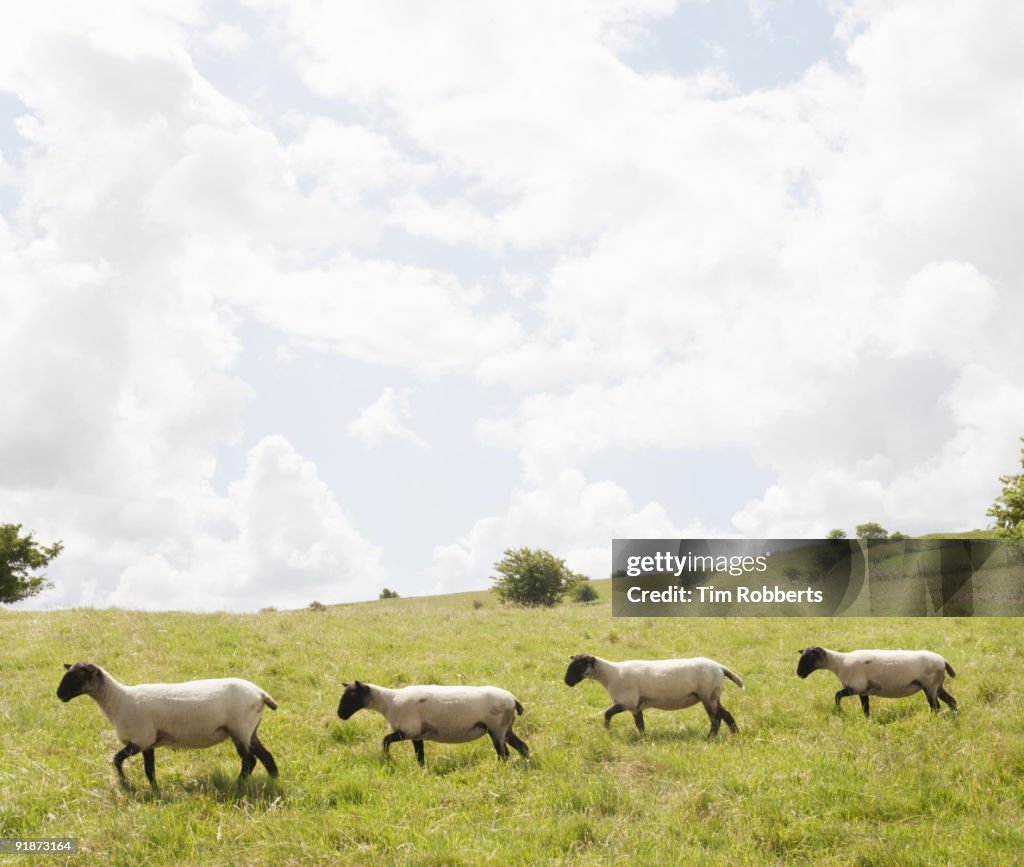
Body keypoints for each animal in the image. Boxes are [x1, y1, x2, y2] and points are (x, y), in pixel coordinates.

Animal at [56, 662, 279, 787]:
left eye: (78, 675)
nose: (59, 694)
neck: (118, 700)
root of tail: (260, 693)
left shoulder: (140, 739)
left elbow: (117, 759)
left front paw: (126, 785)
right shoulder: (148, 743)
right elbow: (149, 769)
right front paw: (155, 790)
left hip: (240, 728)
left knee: (249, 760)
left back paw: (238, 785)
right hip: (250, 729)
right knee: (266, 756)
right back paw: (274, 781)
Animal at [337, 681, 529, 766]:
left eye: (352, 695)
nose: (340, 714)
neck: (389, 702)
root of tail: (513, 699)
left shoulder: (407, 730)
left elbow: (384, 740)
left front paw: (387, 759)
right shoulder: (416, 735)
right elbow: (420, 756)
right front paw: (421, 770)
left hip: (497, 728)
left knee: (504, 753)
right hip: (507, 728)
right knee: (523, 747)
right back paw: (526, 764)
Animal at [563, 654, 743, 737]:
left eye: (579, 665)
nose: (566, 681)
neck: (610, 675)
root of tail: (720, 667)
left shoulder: (627, 701)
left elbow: (607, 714)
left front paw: (607, 731)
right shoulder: (635, 707)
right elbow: (640, 725)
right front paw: (643, 739)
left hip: (707, 696)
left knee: (715, 719)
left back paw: (710, 738)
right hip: (713, 696)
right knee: (726, 715)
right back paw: (735, 734)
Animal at [796, 646, 958, 717]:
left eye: (810, 657)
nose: (799, 673)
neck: (840, 663)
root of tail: (943, 661)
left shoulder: (855, 687)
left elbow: (837, 695)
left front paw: (839, 711)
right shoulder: (862, 691)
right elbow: (865, 708)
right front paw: (866, 720)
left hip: (929, 686)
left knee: (935, 706)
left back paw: (932, 719)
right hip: (938, 686)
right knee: (952, 701)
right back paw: (954, 715)